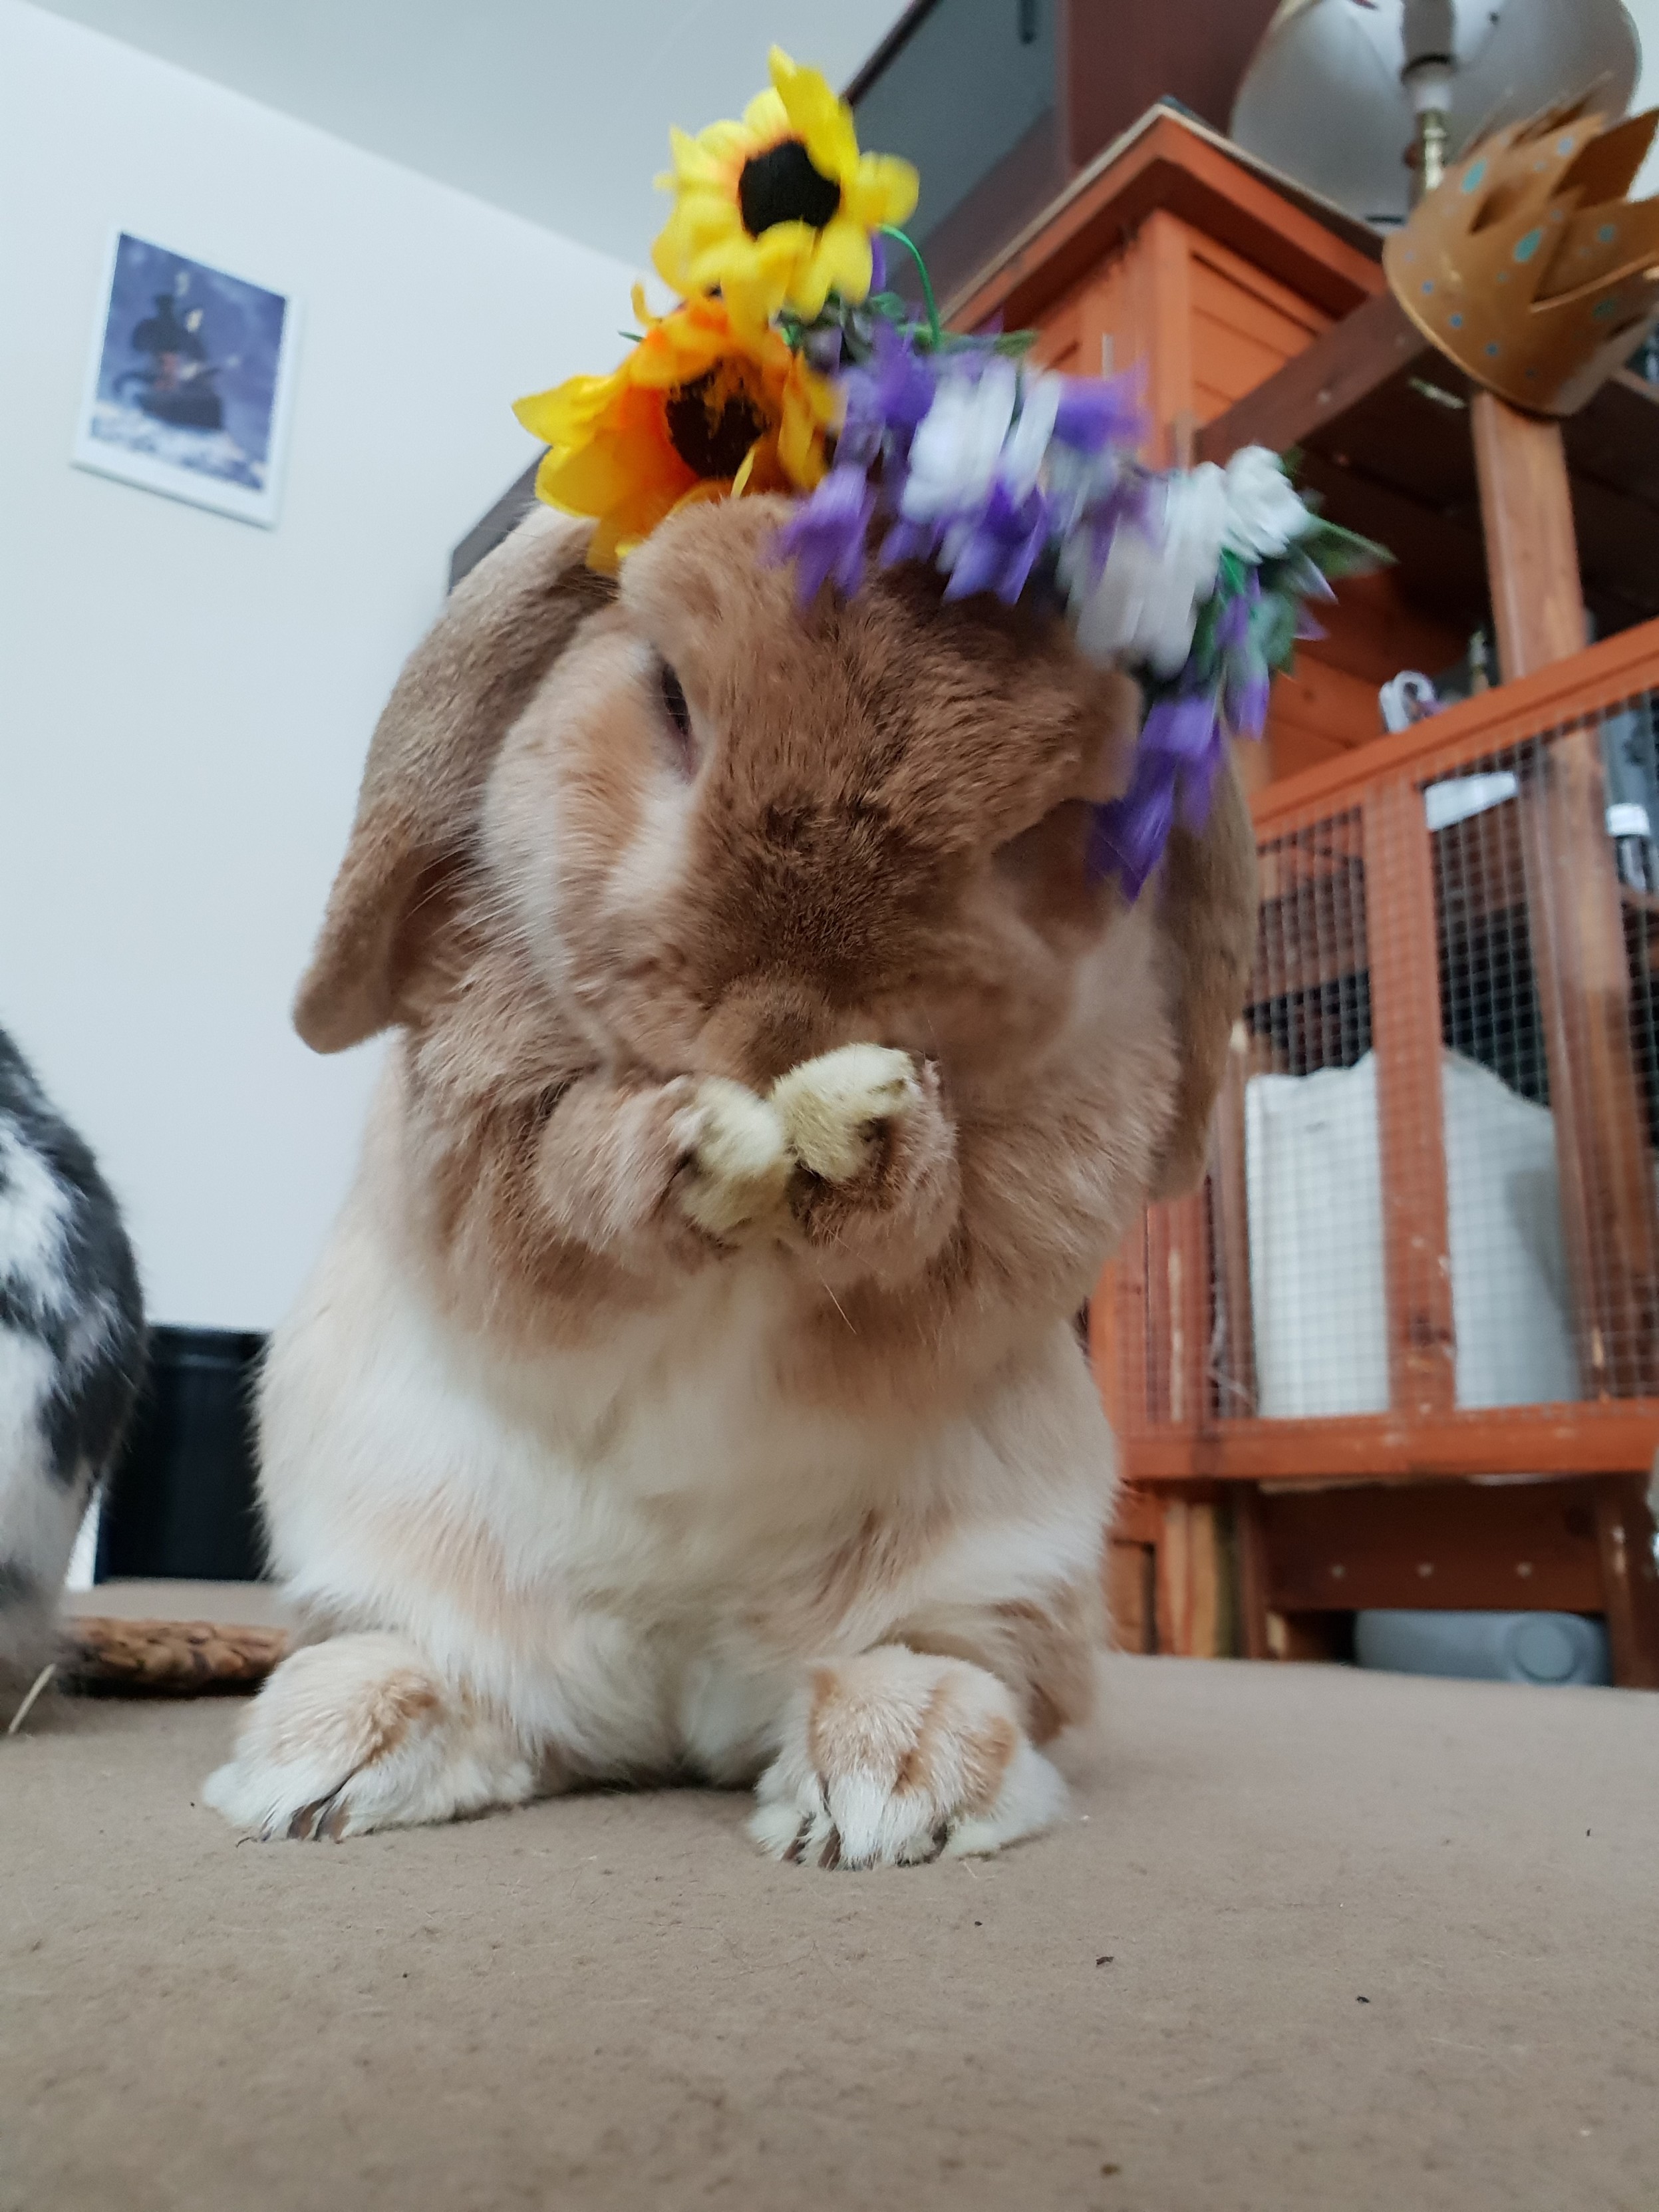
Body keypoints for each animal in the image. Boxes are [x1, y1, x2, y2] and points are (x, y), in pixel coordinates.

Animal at [201, 498, 1256, 1867]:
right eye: (667, 691)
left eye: (1045, 819)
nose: (783, 1023)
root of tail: (666, 1713)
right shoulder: (471, 1134)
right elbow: (549, 1192)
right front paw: (687, 1149)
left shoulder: (1048, 1180)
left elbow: (952, 1236)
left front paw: (877, 1152)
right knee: (461, 1688)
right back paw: (324, 1764)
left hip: (1005, 1574)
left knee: (962, 1668)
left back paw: (890, 1780)